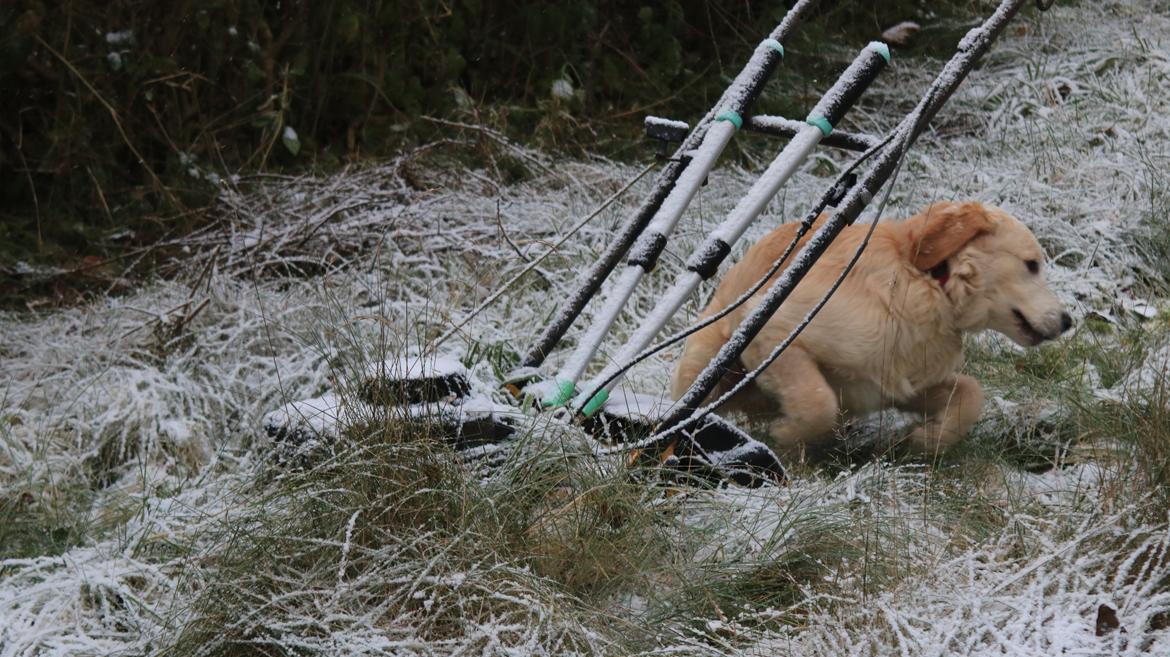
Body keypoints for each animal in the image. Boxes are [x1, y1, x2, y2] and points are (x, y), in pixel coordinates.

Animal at [678, 198, 1071, 455]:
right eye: (1032, 264)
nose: (1068, 321)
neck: (925, 284)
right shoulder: (774, 333)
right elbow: (818, 401)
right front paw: (787, 434)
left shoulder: (901, 383)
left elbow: (971, 394)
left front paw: (928, 439)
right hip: (706, 364)